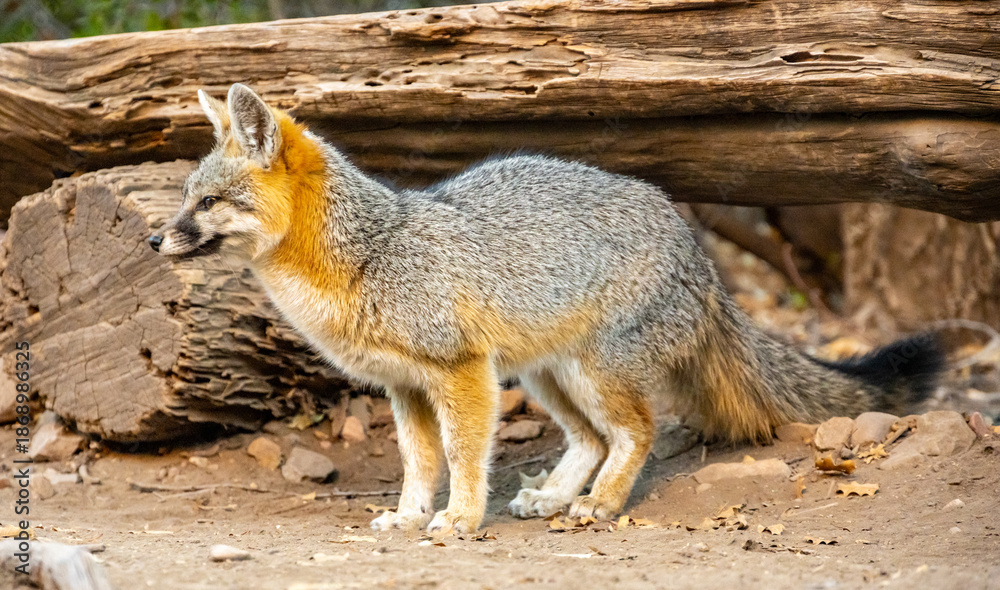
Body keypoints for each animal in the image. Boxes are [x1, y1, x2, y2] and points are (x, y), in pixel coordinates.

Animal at [149, 83, 944, 534]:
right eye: (186, 196)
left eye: (208, 202)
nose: (154, 237)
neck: (365, 255)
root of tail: (688, 236)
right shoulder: (405, 387)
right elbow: (418, 462)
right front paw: (409, 516)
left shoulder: (459, 372)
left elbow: (462, 457)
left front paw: (460, 520)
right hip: (544, 375)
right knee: (592, 439)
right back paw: (556, 498)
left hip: (589, 372)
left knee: (637, 432)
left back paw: (599, 505)